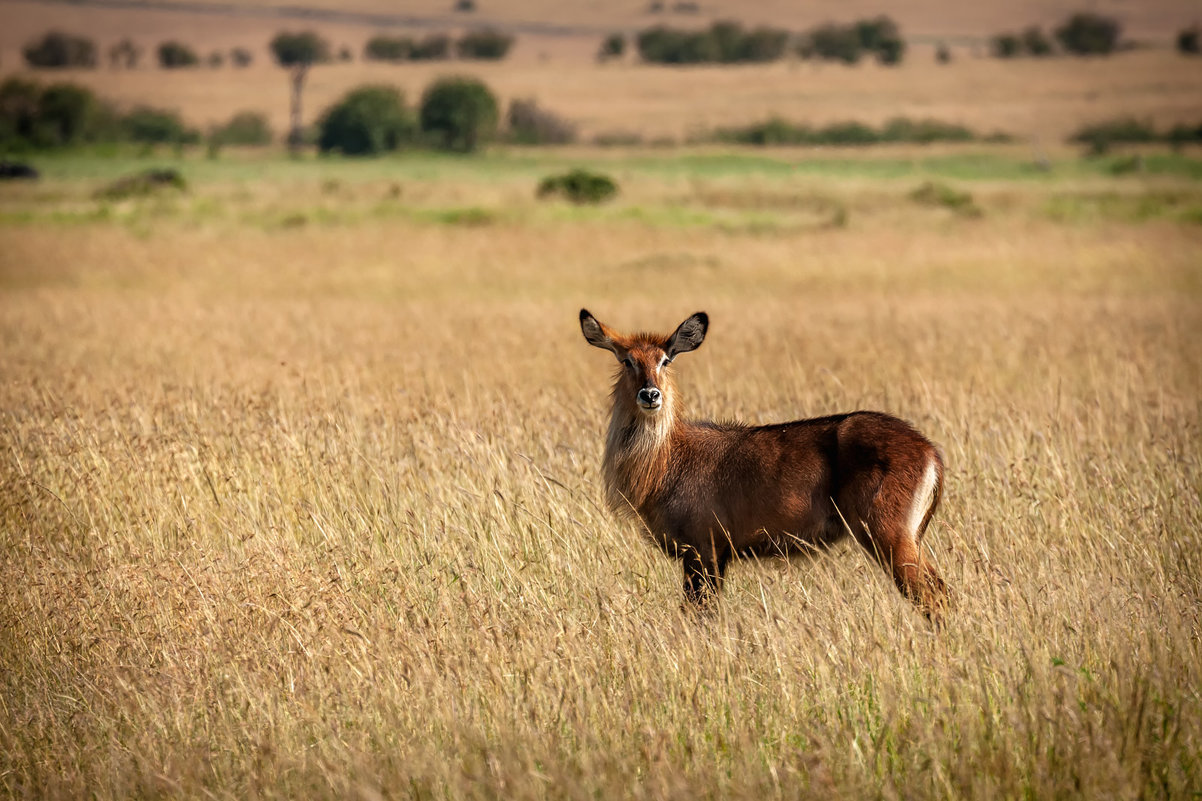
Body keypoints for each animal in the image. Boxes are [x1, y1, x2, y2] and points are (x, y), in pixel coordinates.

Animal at [581, 307, 947, 613]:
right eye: (627, 360)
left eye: (665, 360)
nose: (650, 395)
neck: (669, 458)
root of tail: (930, 451)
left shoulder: (704, 548)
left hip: (888, 534)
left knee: (933, 597)